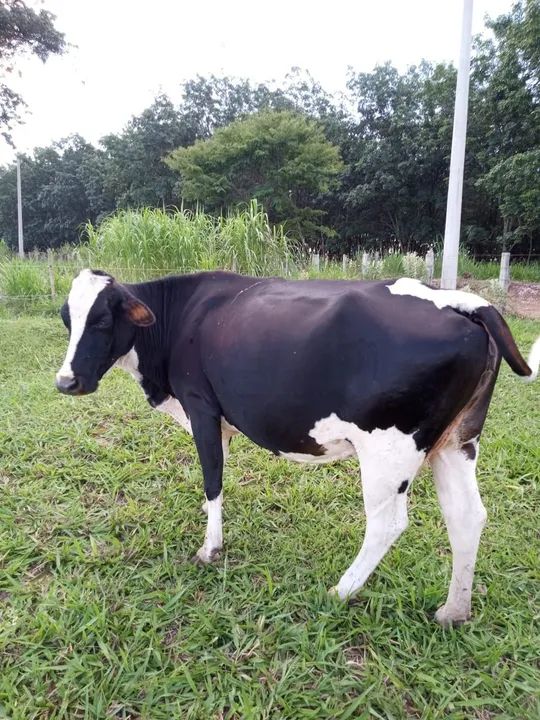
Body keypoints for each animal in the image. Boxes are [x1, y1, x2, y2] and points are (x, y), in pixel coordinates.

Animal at [55, 269, 539, 625]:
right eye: (67, 320)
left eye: (102, 320)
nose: (66, 381)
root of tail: (460, 300)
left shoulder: (201, 407)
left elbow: (212, 480)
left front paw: (210, 549)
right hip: (456, 441)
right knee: (467, 516)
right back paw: (454, 610)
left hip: (389, 449)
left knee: (388, 524)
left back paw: (340, 590)